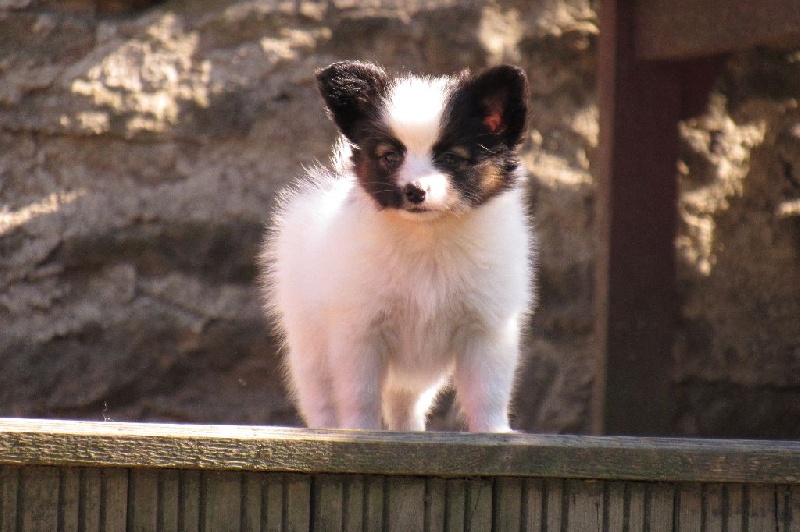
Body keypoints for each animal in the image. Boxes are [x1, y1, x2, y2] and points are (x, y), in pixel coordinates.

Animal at [262, 60, 536, 432]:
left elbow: (488, 391)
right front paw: (359, 431)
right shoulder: (359, 331)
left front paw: (494, 433)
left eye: (451, 158)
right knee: (319, 393)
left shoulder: (487, 327)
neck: (427, 237)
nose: (414, 190)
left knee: (406, 400)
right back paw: (324, 428)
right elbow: (360, 392)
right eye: (391, 157)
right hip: (308, 339)